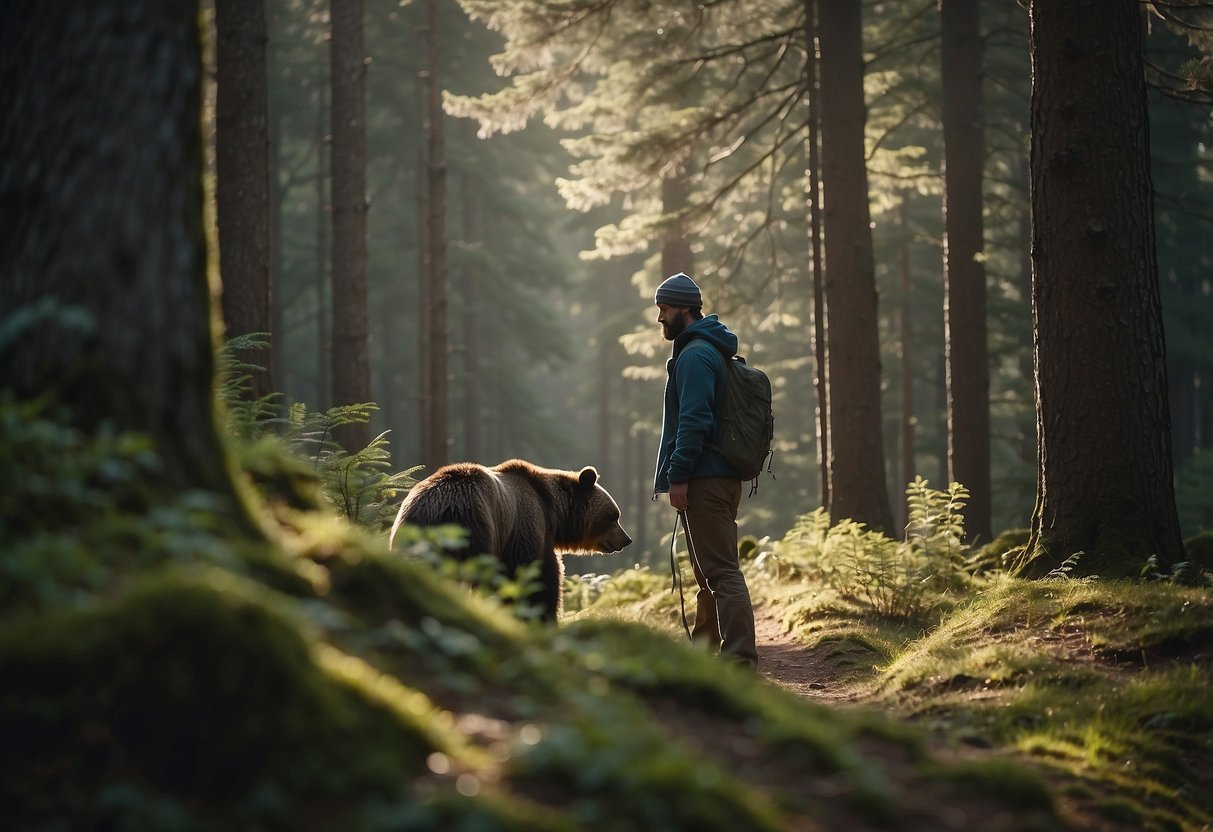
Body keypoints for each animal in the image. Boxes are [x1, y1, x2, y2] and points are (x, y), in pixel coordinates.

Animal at [388, 463, 635, 618]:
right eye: (613, 516)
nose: (627, 539)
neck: (553, 511)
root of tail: (436, 507)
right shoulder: (526, 526)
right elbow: (536, 574)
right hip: (472, 528)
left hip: (408, 532)